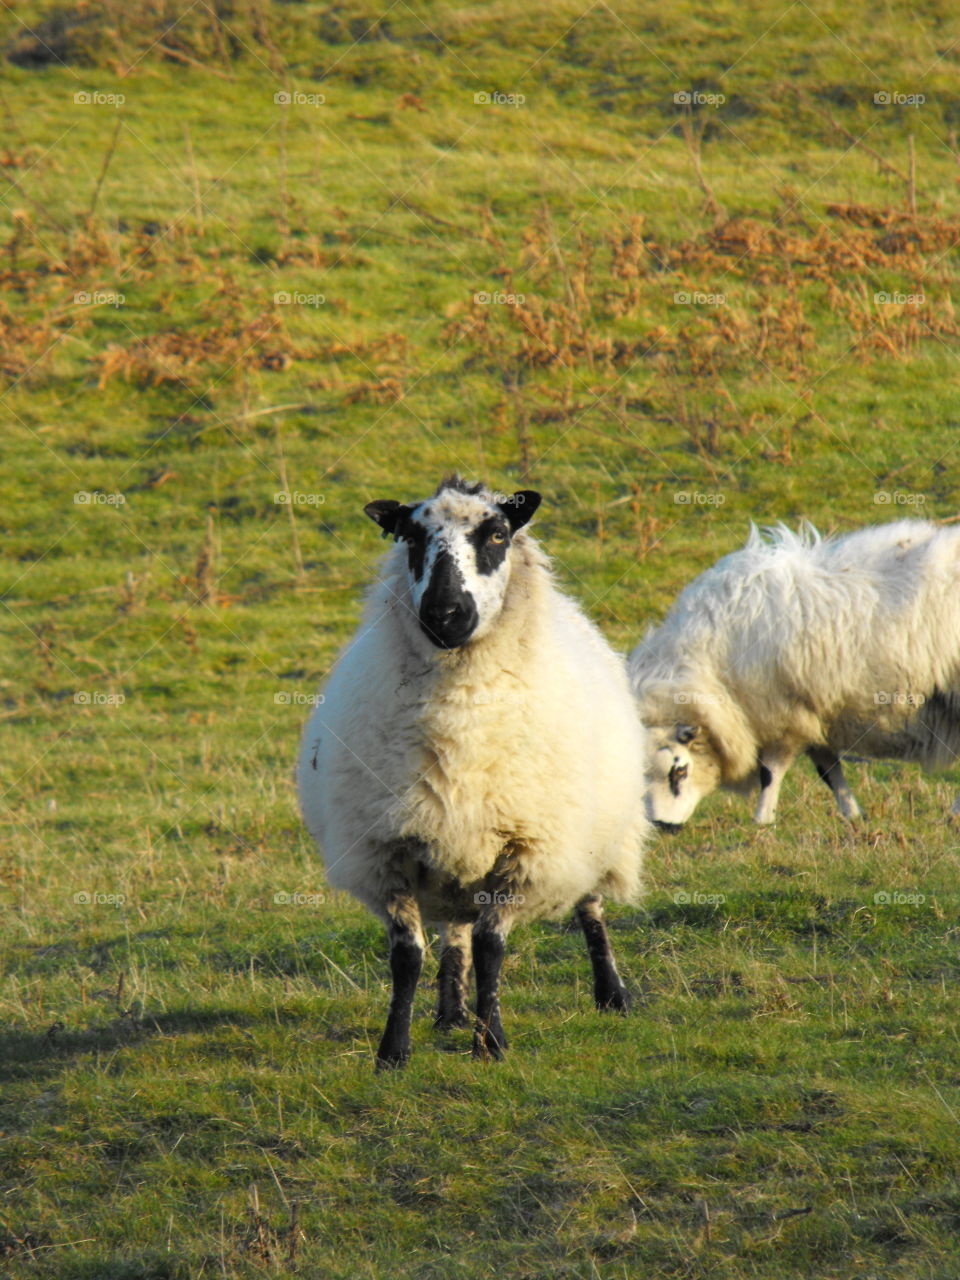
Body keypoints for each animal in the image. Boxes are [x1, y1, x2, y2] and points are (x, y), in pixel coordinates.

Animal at [297, 476, 648, 1067]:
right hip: (454, 853)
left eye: (497, 533)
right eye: (411, 536)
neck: (458, 717)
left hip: (590, 836)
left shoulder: (524, 849)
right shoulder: (389, 852)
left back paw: (611, 993)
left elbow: (492, 948)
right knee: (455, 934)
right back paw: (452, 1011)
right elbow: (408, 956)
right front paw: (393, 1050)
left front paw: (492, 1043)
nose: (444, 614)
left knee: (590, 908)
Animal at [628, 518, 960, 829]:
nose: (662, 825)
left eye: (679, 770)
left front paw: (762, 820)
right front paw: (853, 814)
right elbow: (828, 770)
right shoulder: (815, 714)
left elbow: (770, 773)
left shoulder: (782, 717)